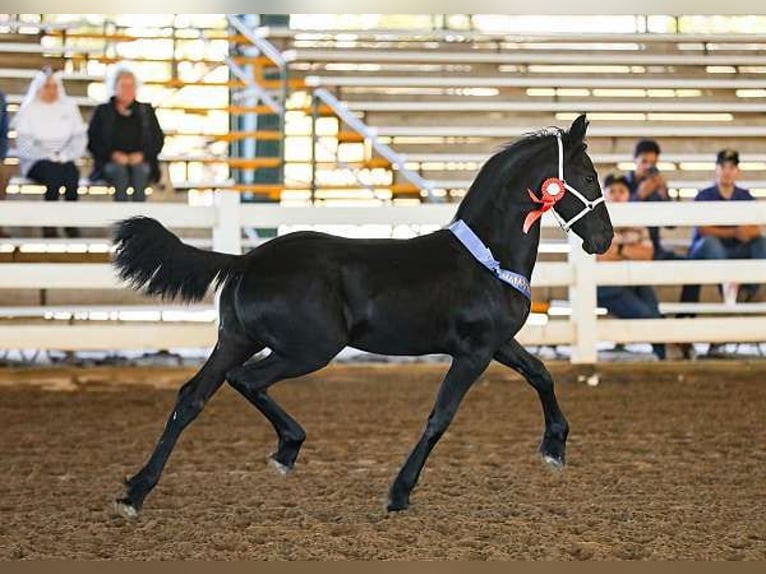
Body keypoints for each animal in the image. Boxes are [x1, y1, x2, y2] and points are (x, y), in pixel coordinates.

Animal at [111, 113, 613, 518]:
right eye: (589, 177)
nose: (604, 239)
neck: (487, 257)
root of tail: (247, 260)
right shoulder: (474, 352)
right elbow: (441, 416)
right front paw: (399, 492)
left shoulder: (499, 343)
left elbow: (540, 373)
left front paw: (554, 446)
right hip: (308, 349)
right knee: (247, 381)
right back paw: (286, 449)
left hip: (235, 339)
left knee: (192, 397)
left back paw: (136, 492)